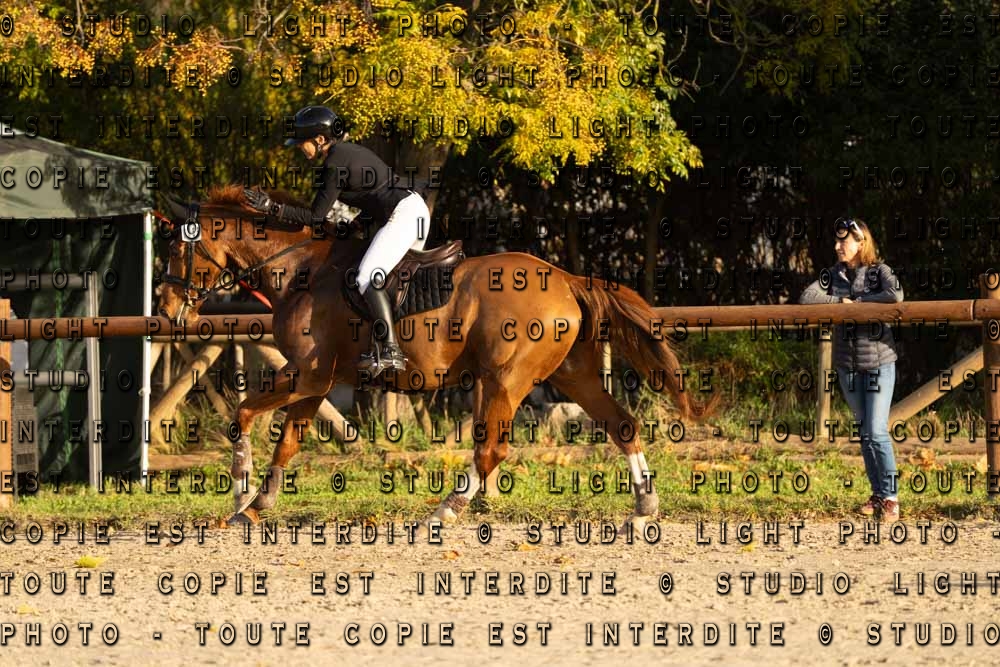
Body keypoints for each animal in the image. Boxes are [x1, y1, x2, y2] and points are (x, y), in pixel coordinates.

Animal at [157, 184, 720, 529]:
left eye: (175, 251)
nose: (165, 309)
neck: (297, 268)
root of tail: (566, 279)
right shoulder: (315, 383)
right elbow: (282, 439)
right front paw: (256, 504)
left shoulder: (306, 375)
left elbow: (245, 417)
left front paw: (243, 495)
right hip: (571, 373)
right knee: (622, 425)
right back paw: (644, 507)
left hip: (507, 379)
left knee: (491, 449)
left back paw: (445, 510)